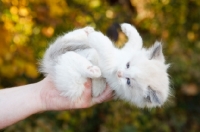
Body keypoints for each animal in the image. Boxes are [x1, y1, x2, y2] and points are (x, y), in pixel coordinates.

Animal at [39, 23, 170, 108]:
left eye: (128, 81)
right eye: (128, 65)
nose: (119, 73)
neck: (119, 61)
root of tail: (53, 61)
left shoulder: (109, 64)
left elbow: (105, 45)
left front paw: (95, 36)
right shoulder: (126, 51)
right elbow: (137, 40)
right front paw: (126, 26)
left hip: (75, 86)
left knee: (71, 59)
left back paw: (93, 70)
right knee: (71, 42)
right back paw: (87, 30)